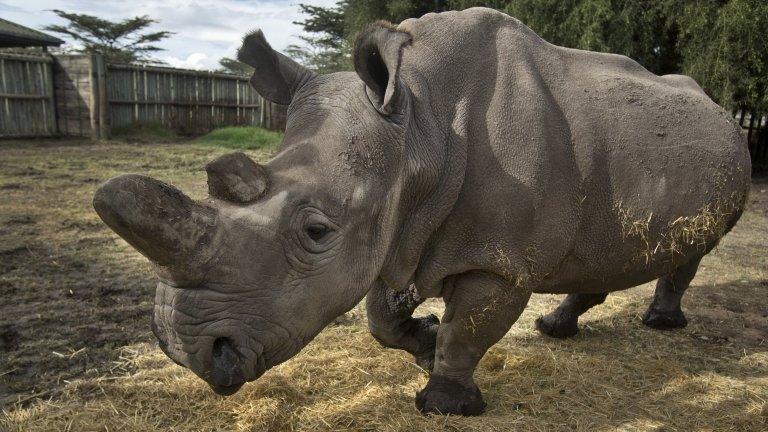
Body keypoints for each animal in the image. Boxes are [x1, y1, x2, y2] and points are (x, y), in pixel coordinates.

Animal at [91, 6, 752, 416]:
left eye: (316, 231)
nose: (189, 353)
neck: (421, 126)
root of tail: (719, 108)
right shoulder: (399, 227)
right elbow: (382, 319)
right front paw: (423, 343)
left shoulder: (498, 258)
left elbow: (471, 325)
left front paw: (445, 402)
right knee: (594, 253)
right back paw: (556, 328)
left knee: (695, 249)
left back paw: (660, 324)